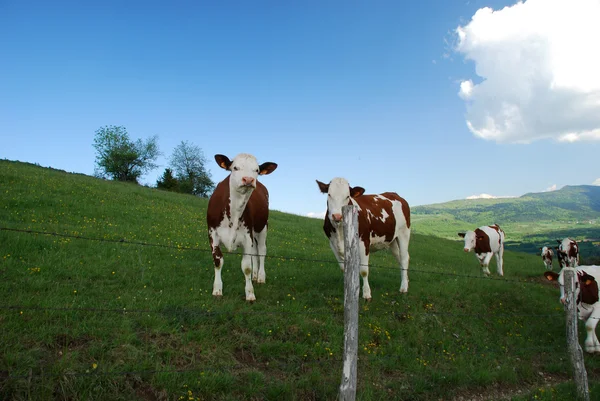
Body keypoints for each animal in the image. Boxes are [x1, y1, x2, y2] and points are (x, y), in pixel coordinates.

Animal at [207, 152, 278, 300]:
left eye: (256, 170)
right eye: (235, 167)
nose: (249, 179)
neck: (234, 213)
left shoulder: (247, 236)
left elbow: (246, 267)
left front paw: (250, 294)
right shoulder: (212, 234)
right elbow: (218, 261)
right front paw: (217, 289)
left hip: (262, 227)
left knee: (261, 251)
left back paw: (260, 277)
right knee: (255, 253)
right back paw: (255, 276)